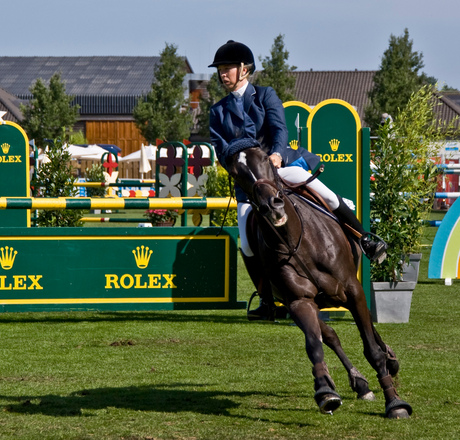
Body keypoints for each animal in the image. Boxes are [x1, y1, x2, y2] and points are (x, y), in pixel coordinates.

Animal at [228, 147, 412, 420]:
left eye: (266, 160)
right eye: (236, 175)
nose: (272, 207)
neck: (296, 240)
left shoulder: (353, 290)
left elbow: (371, 348)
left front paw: (395, 402)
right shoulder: (299, 302)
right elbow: (315, 345)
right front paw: (325, 390)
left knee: (367, 327)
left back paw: (389, 360)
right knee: (332, 337)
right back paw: (360, 383)